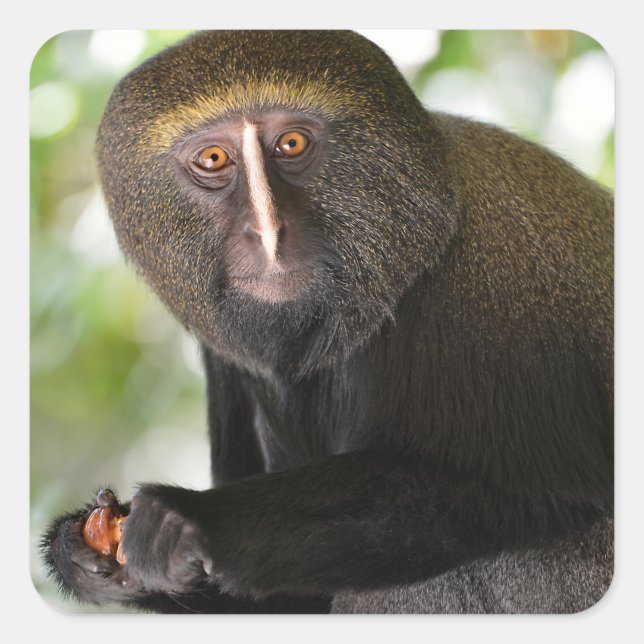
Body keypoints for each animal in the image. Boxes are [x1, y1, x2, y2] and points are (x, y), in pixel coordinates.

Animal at [41, 30, 613, 614]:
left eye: (291, 145)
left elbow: (519, 491)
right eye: (214, 157)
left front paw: (195, 520)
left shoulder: (489, 278)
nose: (269, 232)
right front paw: (82, 554)